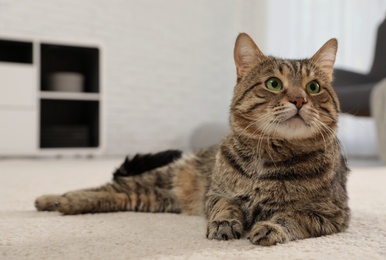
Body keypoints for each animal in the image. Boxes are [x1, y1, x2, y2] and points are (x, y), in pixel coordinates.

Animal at [35, 33, 350, 247]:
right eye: (273, 83)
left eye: (314, 87)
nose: (299, 99)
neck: (269, 157)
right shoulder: (216, 194)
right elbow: (225, 207)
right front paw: (224, 223)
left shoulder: (331, 214)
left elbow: (292, 217)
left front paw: (272, 227)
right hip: (159, 178)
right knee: (106, 186)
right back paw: (54, 198)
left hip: (151, 198)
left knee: (115, 194)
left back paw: (63, 202)